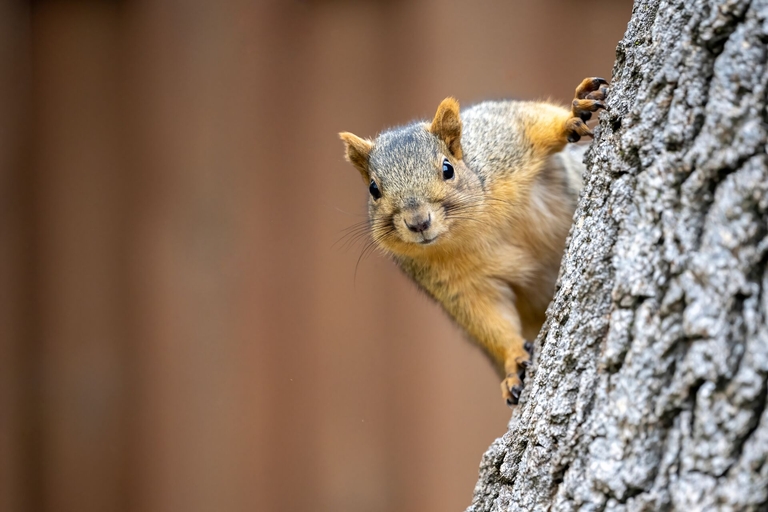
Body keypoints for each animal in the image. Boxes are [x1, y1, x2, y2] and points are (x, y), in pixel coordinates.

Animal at [339, 77, 608, 406]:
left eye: (447, 168)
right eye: (374, 189)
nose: (418, 222)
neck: (470, 227)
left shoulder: (504, 138)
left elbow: (537, 122)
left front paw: (575, 111)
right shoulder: (460, 286)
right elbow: (490, 320)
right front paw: (514, 363)